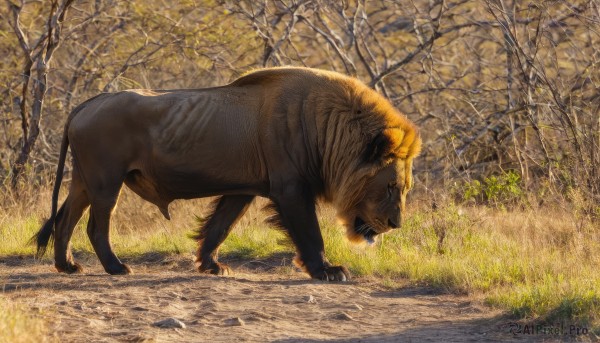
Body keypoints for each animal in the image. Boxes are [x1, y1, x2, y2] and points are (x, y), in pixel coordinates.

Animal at [35, 67, 420, 282]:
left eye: (405, 187)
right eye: (391, 186)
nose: (397, 224)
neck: (327, 126)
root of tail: (86, 104)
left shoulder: (243, 190)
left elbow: (219, 227)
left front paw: (210, 266)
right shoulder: (291, 189)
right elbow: (311, 235)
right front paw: (327, 271)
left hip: (84, 181)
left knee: (65, 219)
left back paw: (67, 267)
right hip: (105, 181)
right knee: (94, 227)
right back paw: (116, 268)